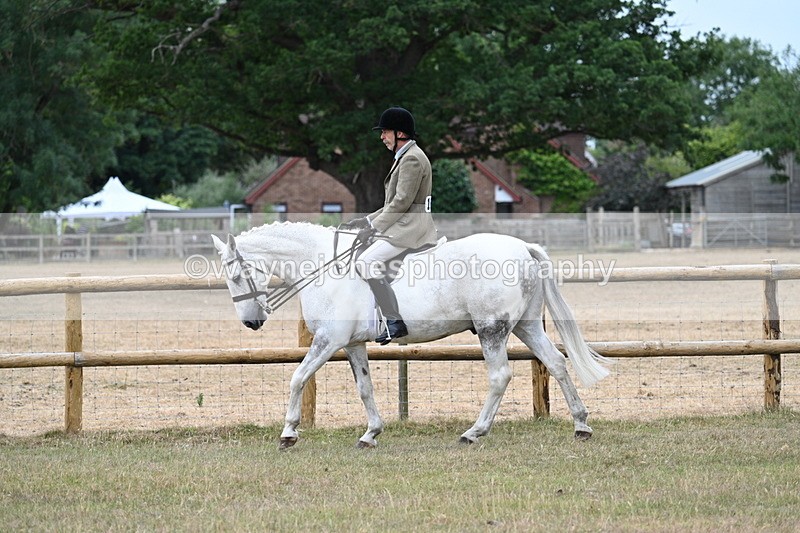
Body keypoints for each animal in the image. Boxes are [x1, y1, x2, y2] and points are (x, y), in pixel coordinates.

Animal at [211, 221, 610, 449]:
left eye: (236, 275)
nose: (251, 323)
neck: (325, 267)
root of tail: (521, 246)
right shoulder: (352, 344)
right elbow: (364, 387)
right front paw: (371, 434)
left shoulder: (329, 341)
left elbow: (297, 377)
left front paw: (288, 433)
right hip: (527, 326)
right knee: (556, 363)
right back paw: (581, 425)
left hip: (491, 329)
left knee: (500, 376)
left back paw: (474, 432)